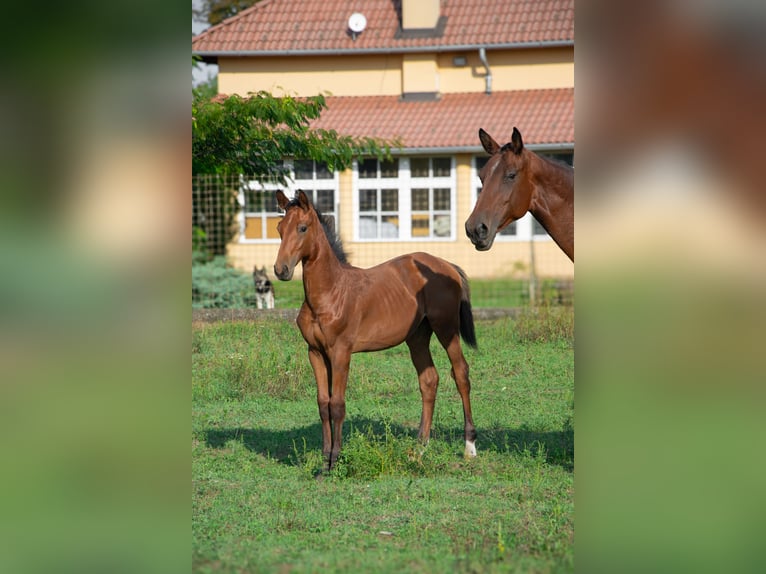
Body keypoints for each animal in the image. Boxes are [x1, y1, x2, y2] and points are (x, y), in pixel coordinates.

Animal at [274, 191, 480, 474]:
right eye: (279, 228)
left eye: (302, 228)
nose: (280, 270)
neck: (330, 293)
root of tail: (447, 265)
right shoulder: (315, 352)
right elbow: (323, 403)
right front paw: (325, 461)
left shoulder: (341, 353)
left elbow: (337, 405)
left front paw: (336, 459)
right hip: (417, 337)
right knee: (429, 380)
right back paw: (420, 447)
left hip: (446, 328)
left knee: (460, 373)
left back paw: (469, 447)